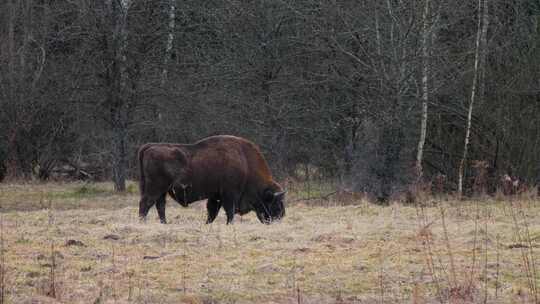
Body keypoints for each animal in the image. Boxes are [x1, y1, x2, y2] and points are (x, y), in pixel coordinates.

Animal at [137, 135, 284, 223]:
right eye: (275, 202)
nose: (280, 216)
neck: (246, 163)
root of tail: (149, 147)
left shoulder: (215, 196)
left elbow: (212, 212)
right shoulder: (229, 195)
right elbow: (229, 212)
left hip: (162, 191)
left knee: (160, 206)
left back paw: (164, 223)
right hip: (155, 188)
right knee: (146, 204)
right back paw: (143, 222)